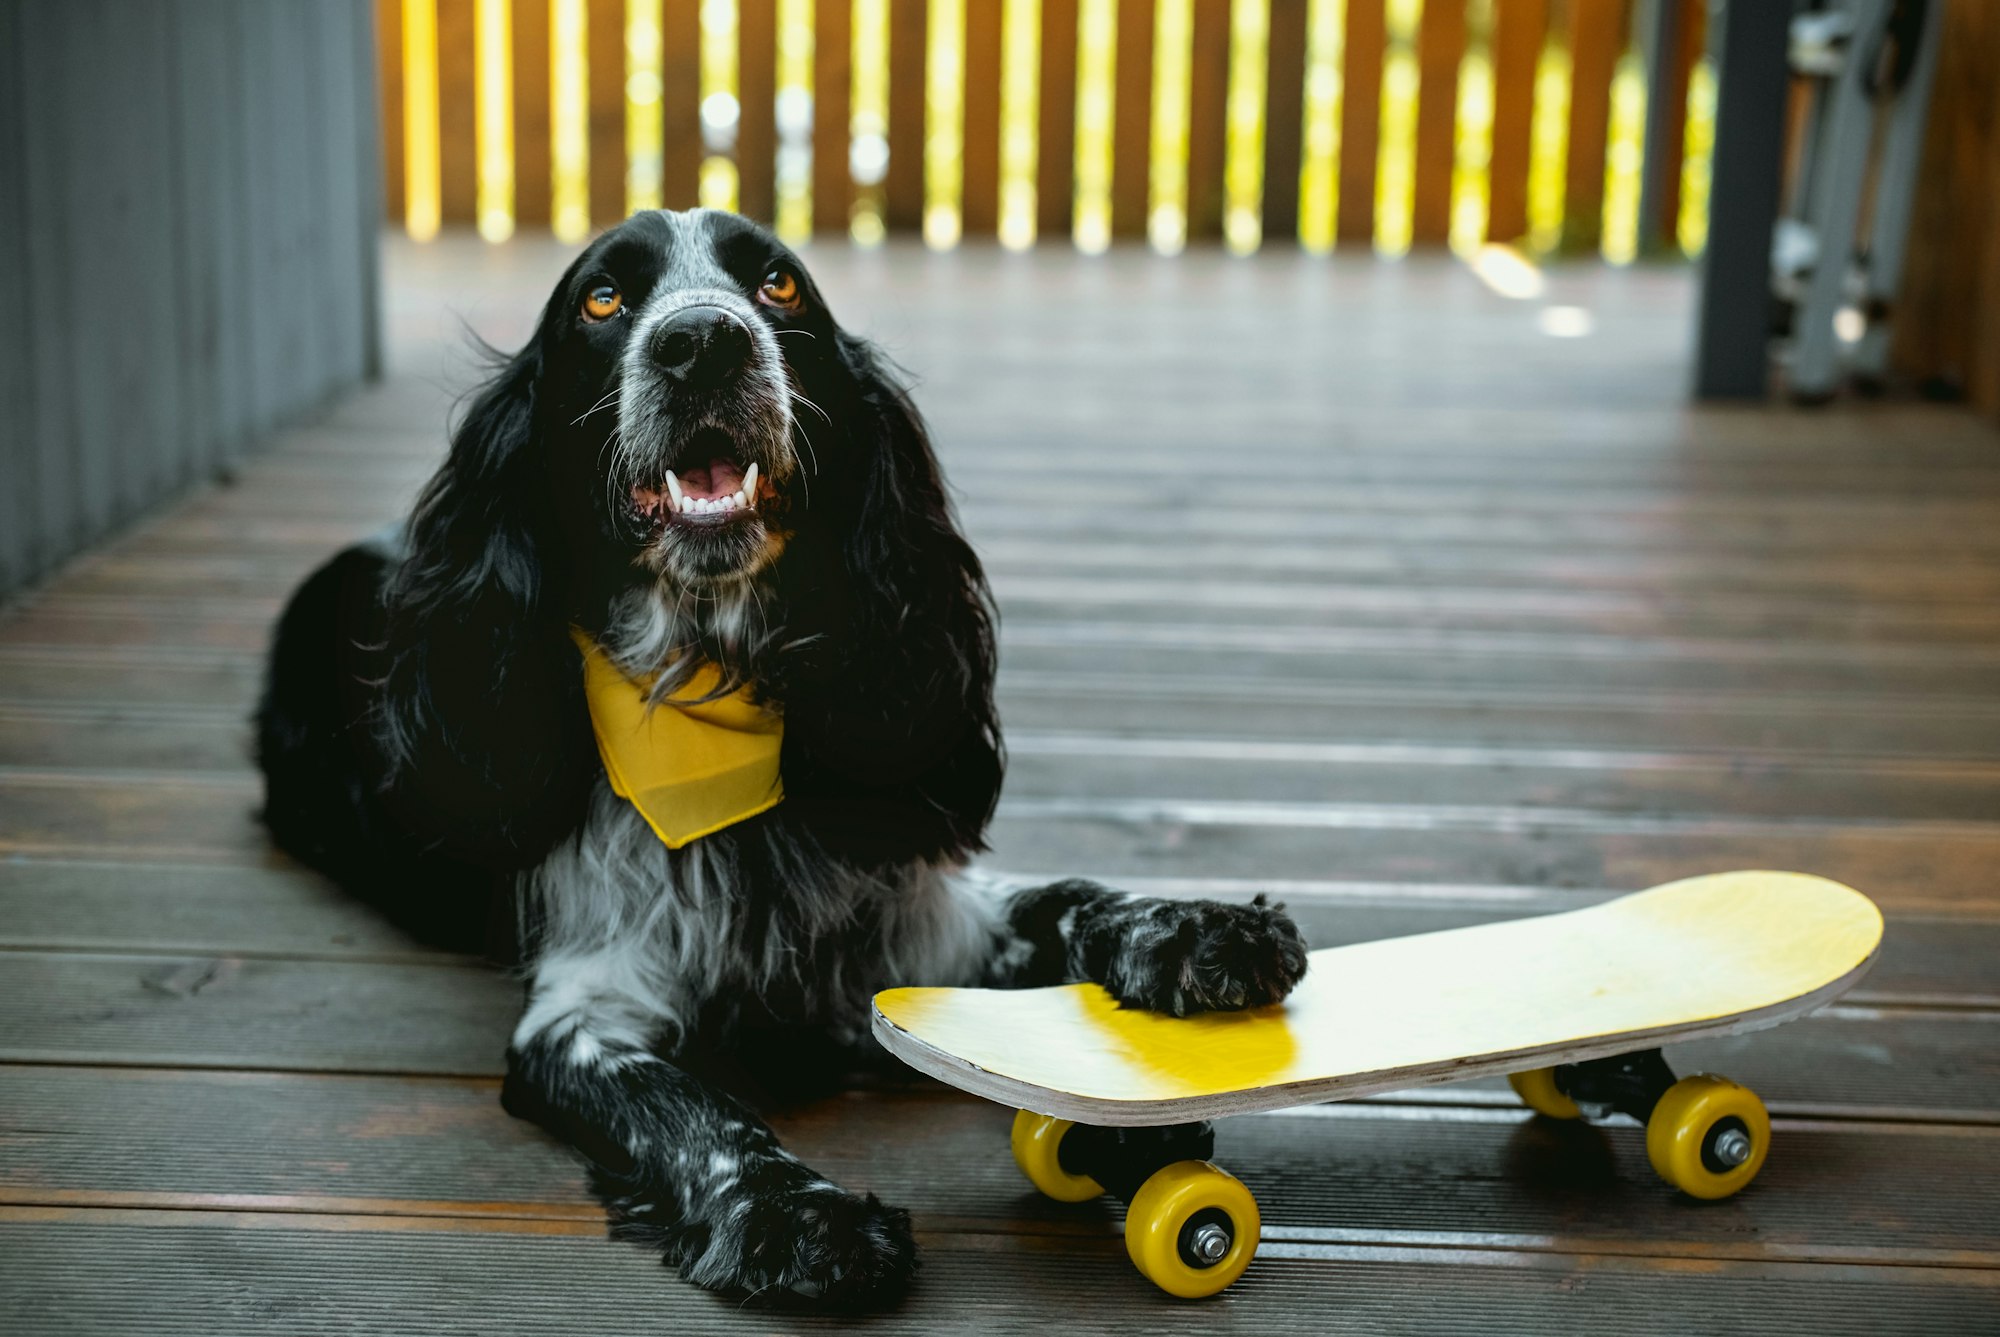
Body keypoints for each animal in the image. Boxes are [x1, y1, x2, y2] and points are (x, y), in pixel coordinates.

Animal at [254, 214, 1312, 1312]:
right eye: (602, 299)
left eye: (779, 285)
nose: (701, 343)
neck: (710, 695)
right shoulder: (587, 1010)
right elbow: (692, 1114)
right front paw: (799, 1217)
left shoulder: (910, 916)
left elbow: (1065, 895)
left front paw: (1200, 929)